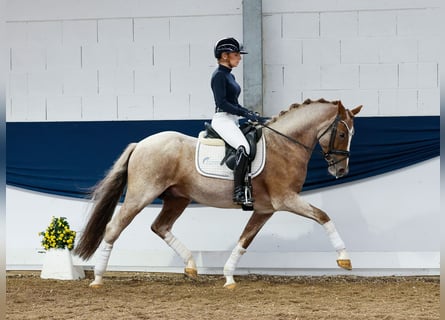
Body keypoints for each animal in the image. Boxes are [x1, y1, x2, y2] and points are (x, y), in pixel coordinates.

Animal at [74, 99, 362, 288]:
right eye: (341, 132)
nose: (341, 170)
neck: (284, 144)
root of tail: (141, 144)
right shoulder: (286, 199)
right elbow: (323, 216)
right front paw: (345, 259)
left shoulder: (265, 209)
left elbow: (244, 240)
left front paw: (229, 276)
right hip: (140, 195)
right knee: (114, 228)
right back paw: (98, 278)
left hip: (178, 198)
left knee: (160, 226)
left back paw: (191, 266)